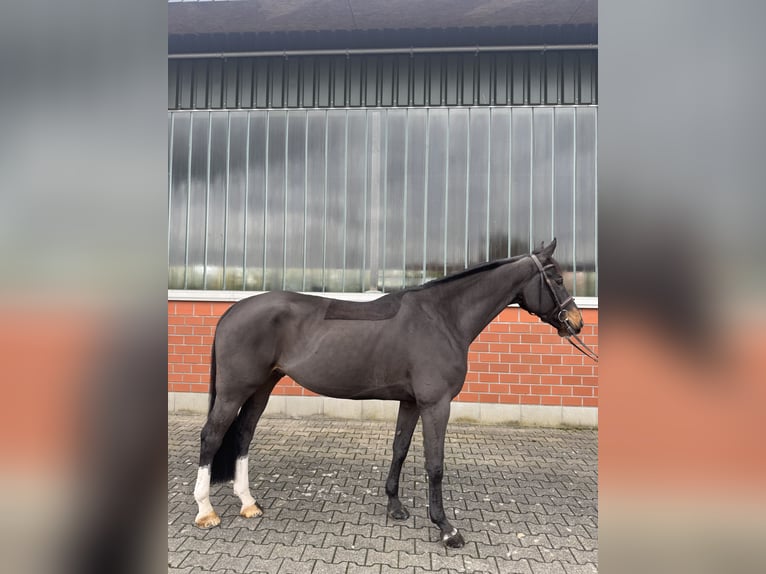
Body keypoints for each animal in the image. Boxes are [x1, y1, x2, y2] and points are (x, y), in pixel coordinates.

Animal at [192, 238, 591, 548]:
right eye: (556, 277)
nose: (576, 322)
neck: (442, 318)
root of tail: (231, 312)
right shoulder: (435, 404)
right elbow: (434, 464)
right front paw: (446, 529)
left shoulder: (411, 402)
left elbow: (400, 448)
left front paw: (395, 507)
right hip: (234, 391)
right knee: (212, 436)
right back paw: (206, 510)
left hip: (261, 388)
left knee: (244, 435)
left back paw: (248, 503)